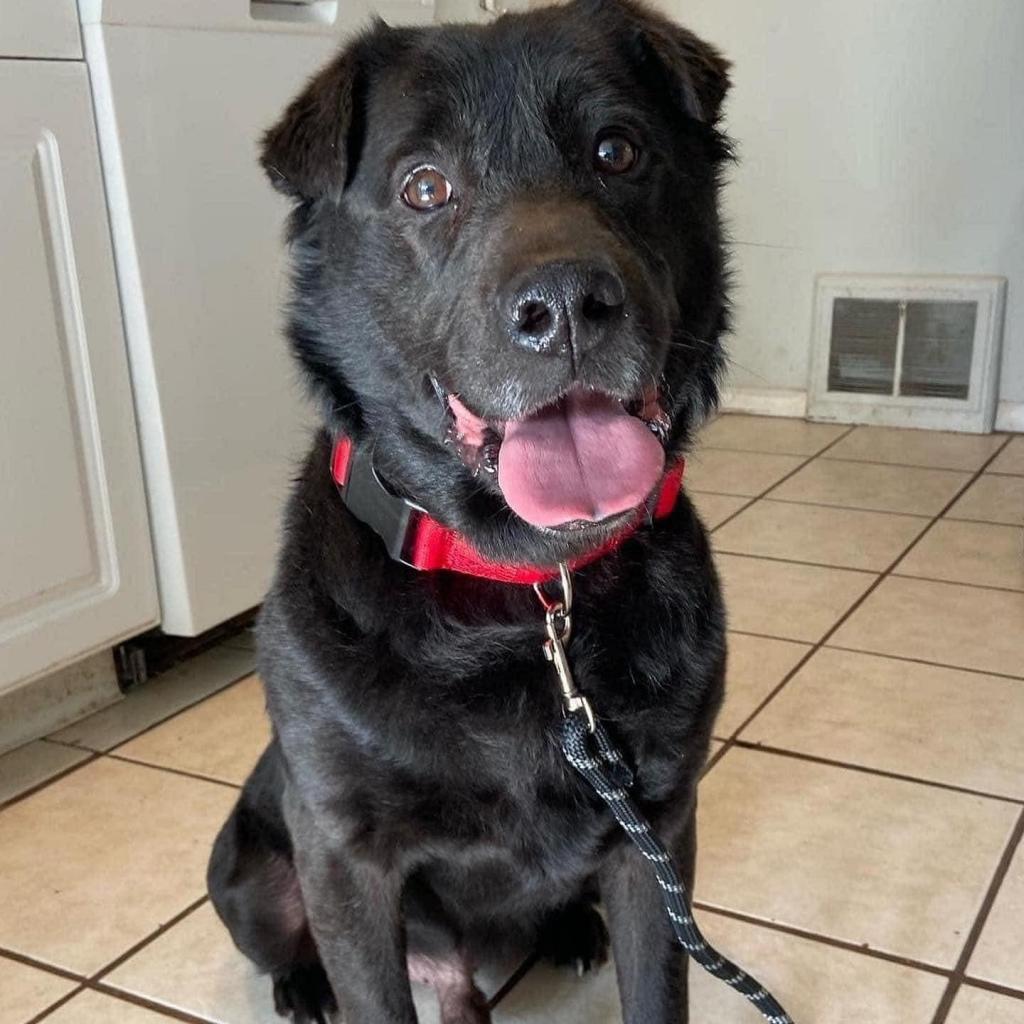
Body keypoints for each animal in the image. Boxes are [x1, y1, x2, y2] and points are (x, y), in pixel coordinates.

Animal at [207, 4, 733, 1019]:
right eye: (425, 186)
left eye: (617, 151)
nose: (564, 305)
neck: (526, 593)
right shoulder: (345, 861)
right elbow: (372, 992)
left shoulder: (659, 831)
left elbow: (658, 985)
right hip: (244, 869)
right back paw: (302, 984)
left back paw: (567, 931)